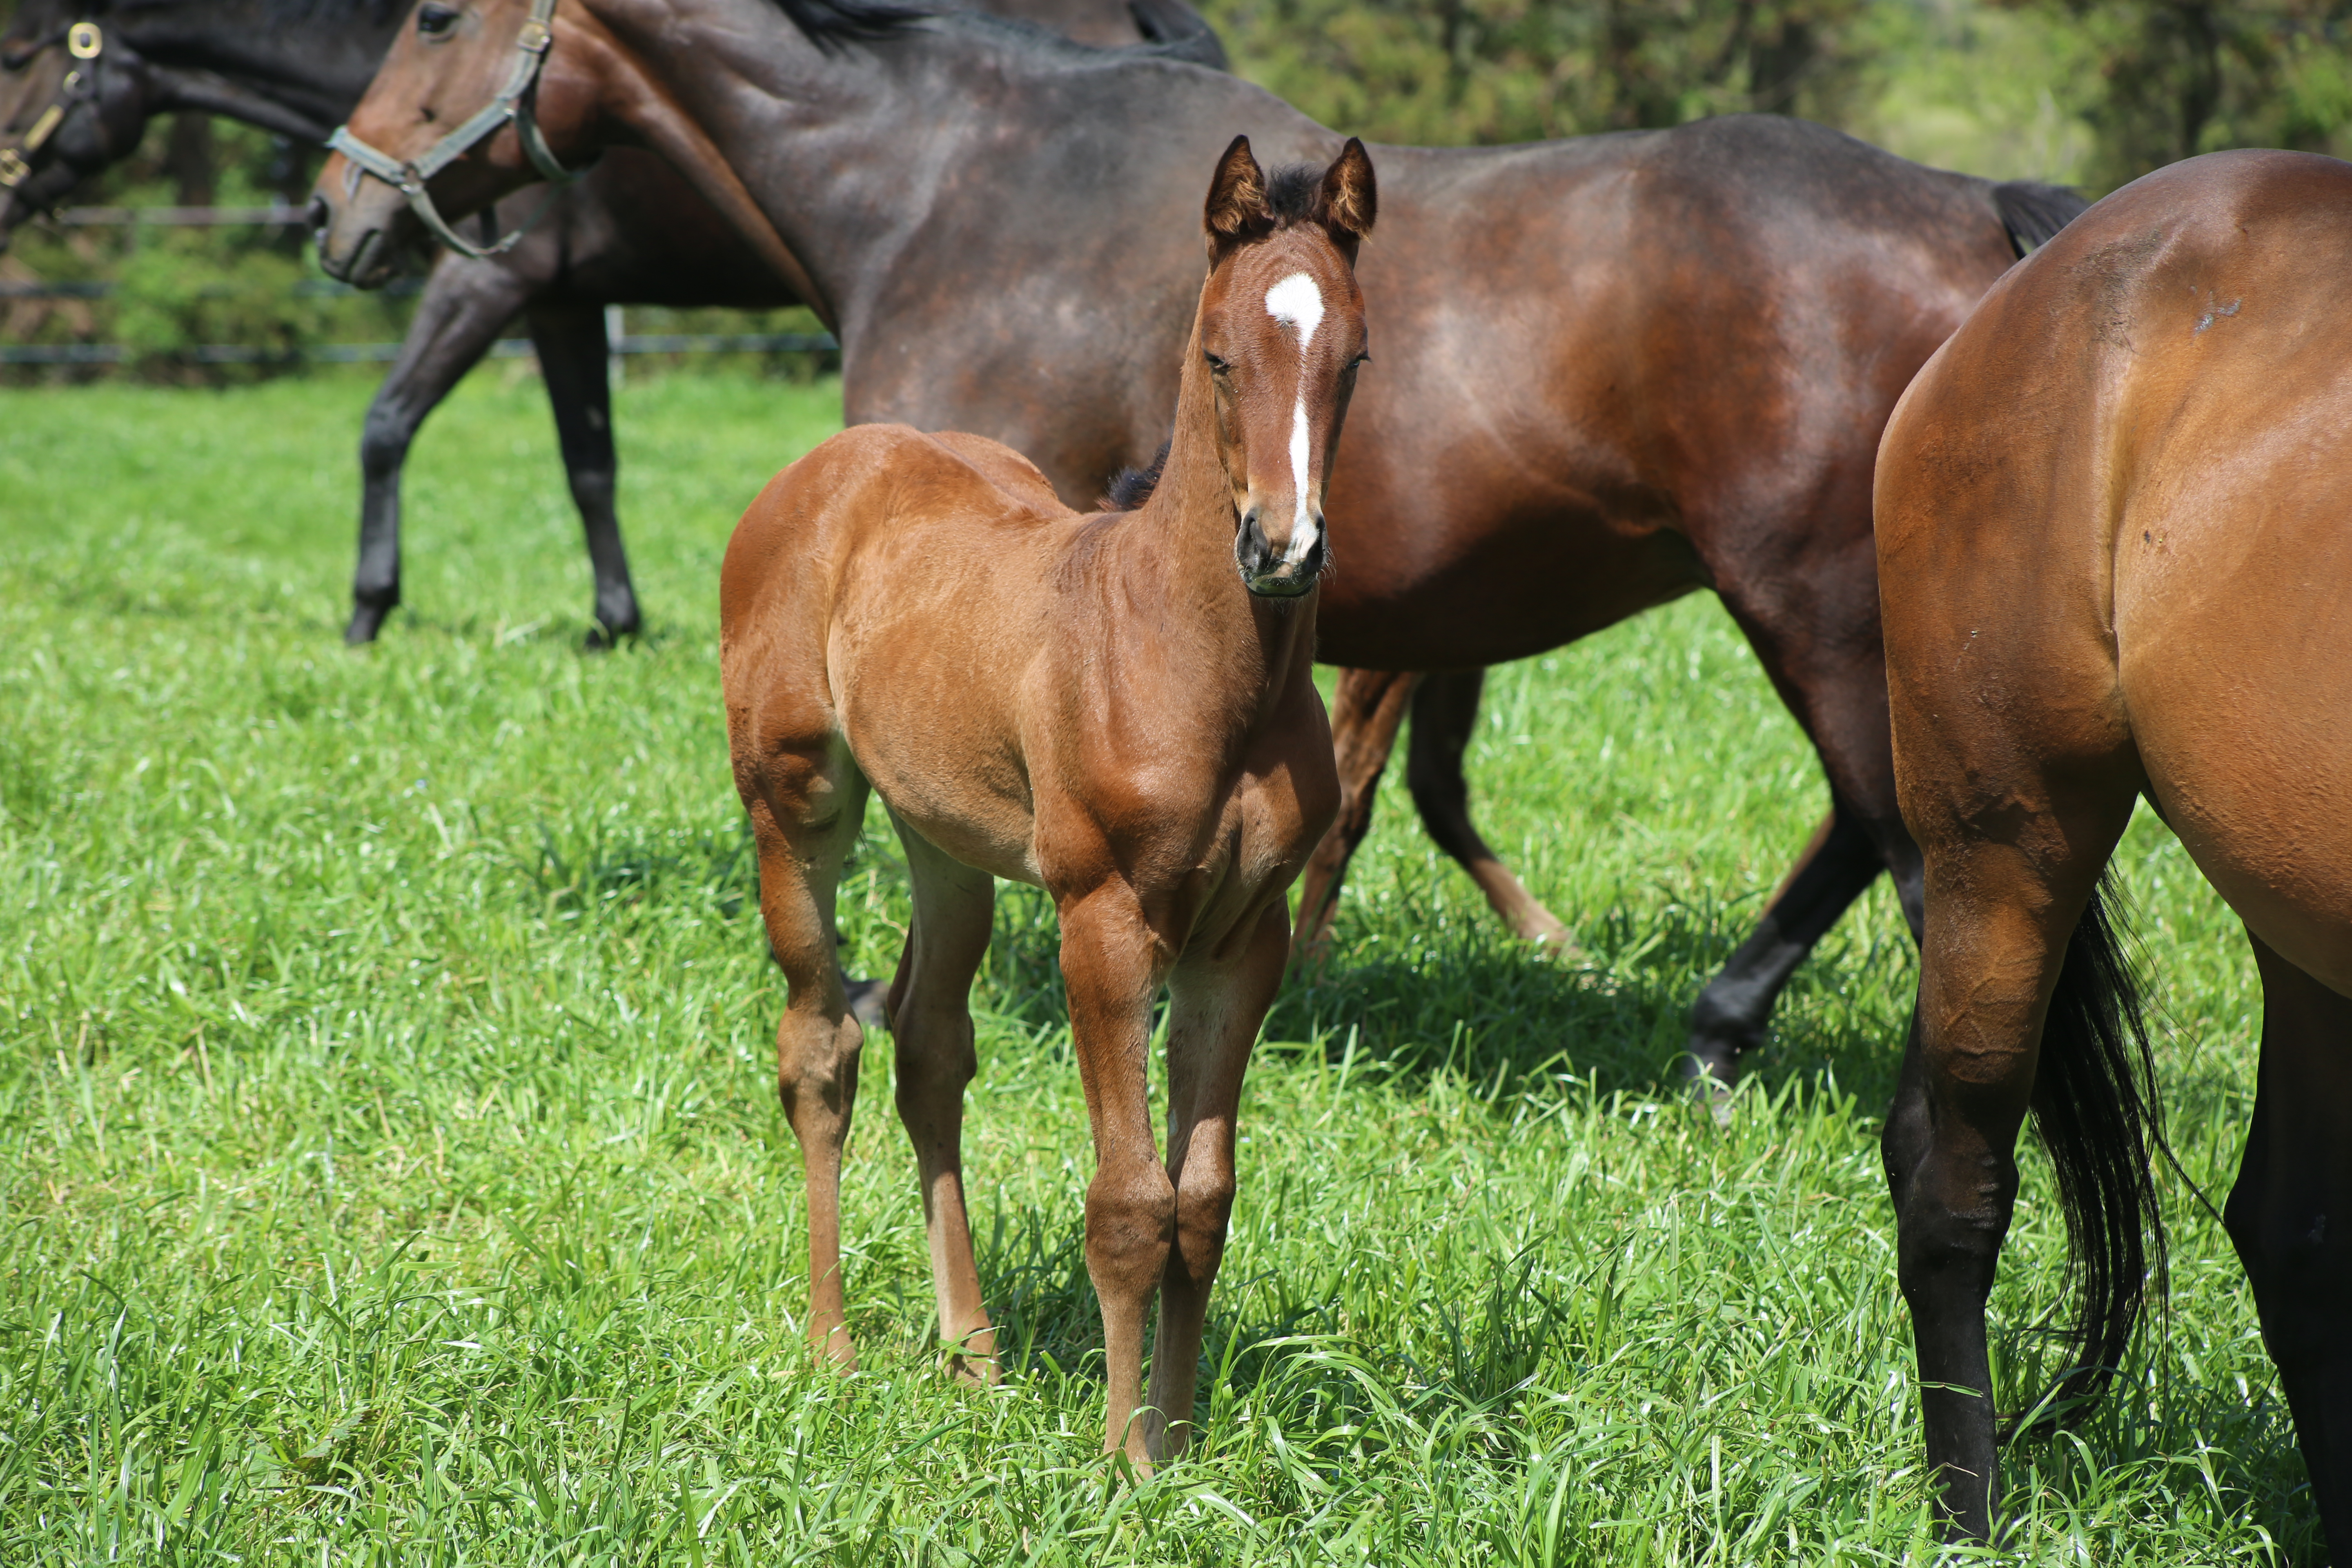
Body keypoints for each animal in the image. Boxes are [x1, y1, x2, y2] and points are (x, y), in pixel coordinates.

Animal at [0, 0, 1214, 644]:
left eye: (20, 59)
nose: (326, 213)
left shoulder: (491, 287)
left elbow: (385, 425)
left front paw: (367, 611)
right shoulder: (564, 301)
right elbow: (590, 461)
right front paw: (614, 624)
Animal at [303, 0, 2088, 1081]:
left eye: (436, 15)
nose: (333, 210)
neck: (949, 183)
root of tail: (1977, 217)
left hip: (1810, 604)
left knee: (1902, 842)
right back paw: (1717, 1033)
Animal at [724, 138, 1373, 1476]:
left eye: (1353, 359)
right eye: (1219, 355)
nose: (1282, 550)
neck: (1184, 655)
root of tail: (828, 464)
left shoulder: (1243, 937)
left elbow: (1202, 1198)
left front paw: (1177, 1444)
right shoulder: (1103, 918)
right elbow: (1129, 1201)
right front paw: (1126, 1462)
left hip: (946, 844)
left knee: (928, 1046)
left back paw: (973, 1354)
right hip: (795, 806)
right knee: (819, 1044)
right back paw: (831, 1345)